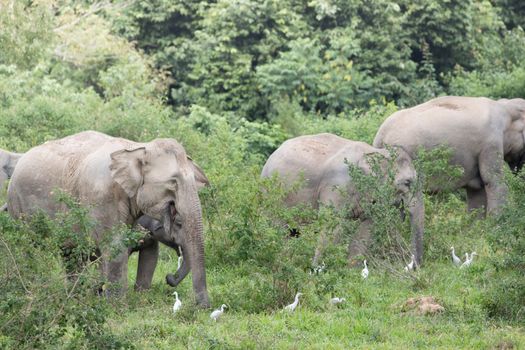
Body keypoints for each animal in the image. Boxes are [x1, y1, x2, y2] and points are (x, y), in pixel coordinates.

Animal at [6, 131, 209, 306]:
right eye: (173, 182)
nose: (169, 278)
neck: (136, 148)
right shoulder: (102, 197)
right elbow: (115, 246)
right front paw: (116, 306)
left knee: (69, 254)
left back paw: (75, 297)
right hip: (17, 204)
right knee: (27, 249)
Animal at [260, 134, 424, 266]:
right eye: (407, 182)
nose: (410, 266)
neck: (376, 152)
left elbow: (366, 229)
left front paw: (351, 273)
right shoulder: (337, 185)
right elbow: (332, 224)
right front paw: (316, 271)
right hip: (272, 193)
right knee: (279, 228)